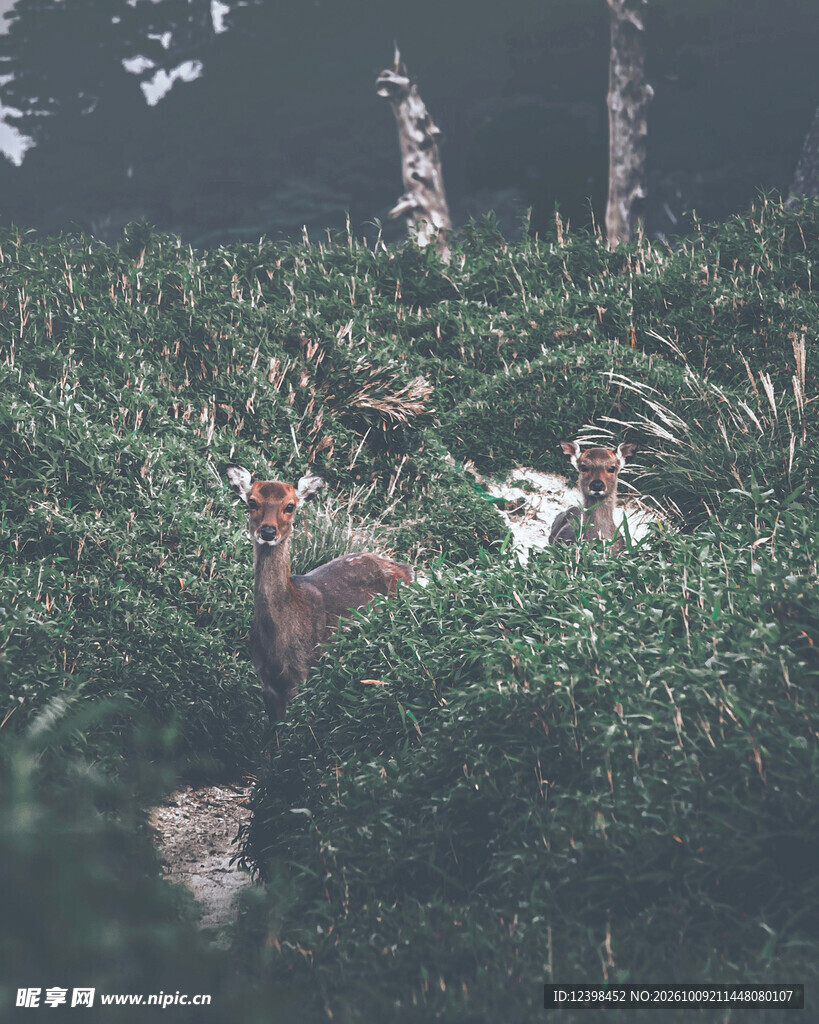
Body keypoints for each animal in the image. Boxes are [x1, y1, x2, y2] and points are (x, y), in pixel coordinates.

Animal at [226, 465, 413, 722]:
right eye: (252, 501)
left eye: (290, 506)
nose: (268, 531)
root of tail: (408, 569)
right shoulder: (267, 685)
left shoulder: (305, 675)